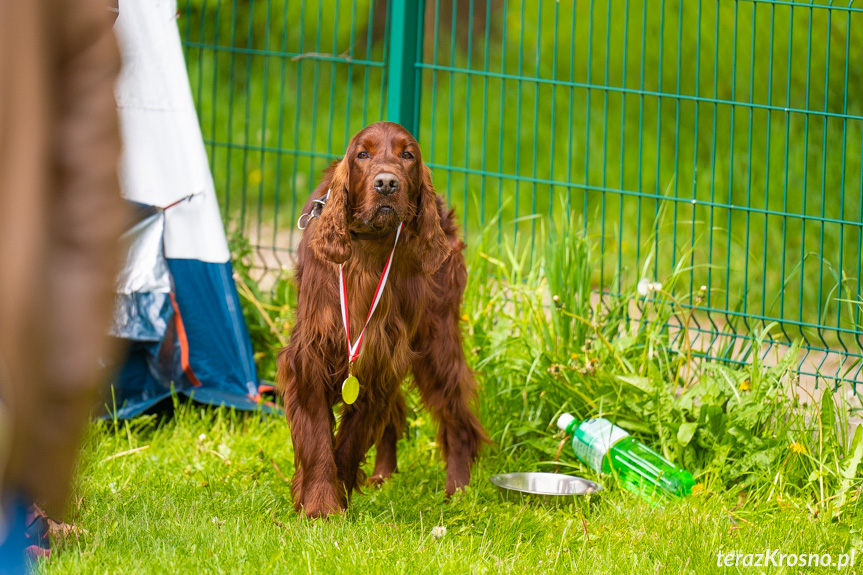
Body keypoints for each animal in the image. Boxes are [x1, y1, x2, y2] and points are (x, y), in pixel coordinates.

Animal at [280, 120, 490, 516]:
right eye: (363, 154)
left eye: (408, 155)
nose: (387, 184)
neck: (367, 247)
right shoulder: (313, 357)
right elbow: (319, 439)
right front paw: (320, 504)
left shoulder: (377, 359)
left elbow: (349, 443)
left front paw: (332, 499)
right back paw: (383, 474)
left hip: (436, 339)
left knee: (457, 417)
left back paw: (457, 489)